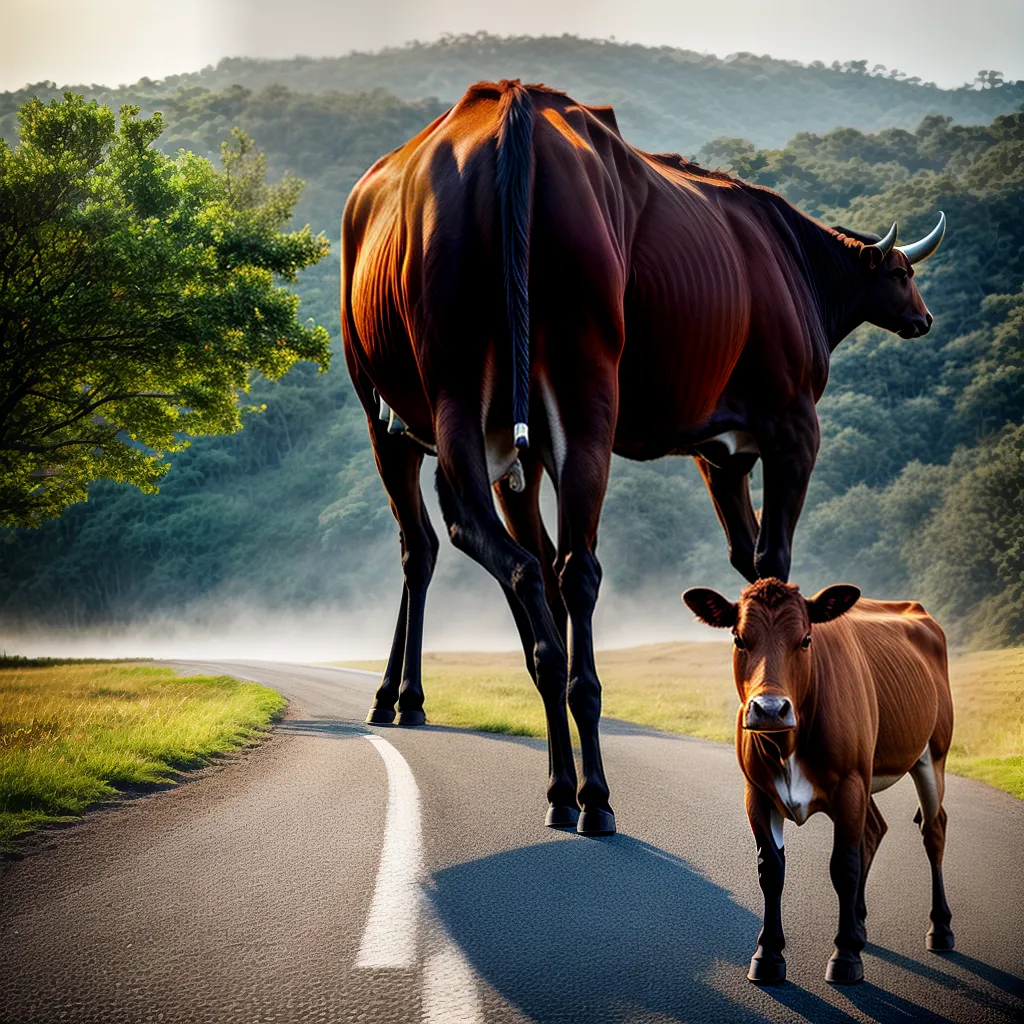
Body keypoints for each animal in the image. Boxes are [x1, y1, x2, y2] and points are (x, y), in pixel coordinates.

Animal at [341, 79, 947, 836]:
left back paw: (521, 759)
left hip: (463, 411)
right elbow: (773, 560)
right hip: (536, 397)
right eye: (899, 271)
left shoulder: (720, 455)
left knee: (501, 555)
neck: (796, 263)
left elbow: (746, 559)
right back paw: (589, 790)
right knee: (543, 565)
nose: (924, 317)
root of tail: (511, 103)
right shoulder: (792, 428)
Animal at [683, 578, 954, 985]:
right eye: (738, 638)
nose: (769, 709)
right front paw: (768, 954)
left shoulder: (850, 784)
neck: (787, 743)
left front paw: (844, 957)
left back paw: (939, 928)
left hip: (932, 752)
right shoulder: (756, 792)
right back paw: (859, 925)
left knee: (933, 829)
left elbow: (843, 865)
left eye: (806, 639)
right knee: (874, 829)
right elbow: (771, 869)